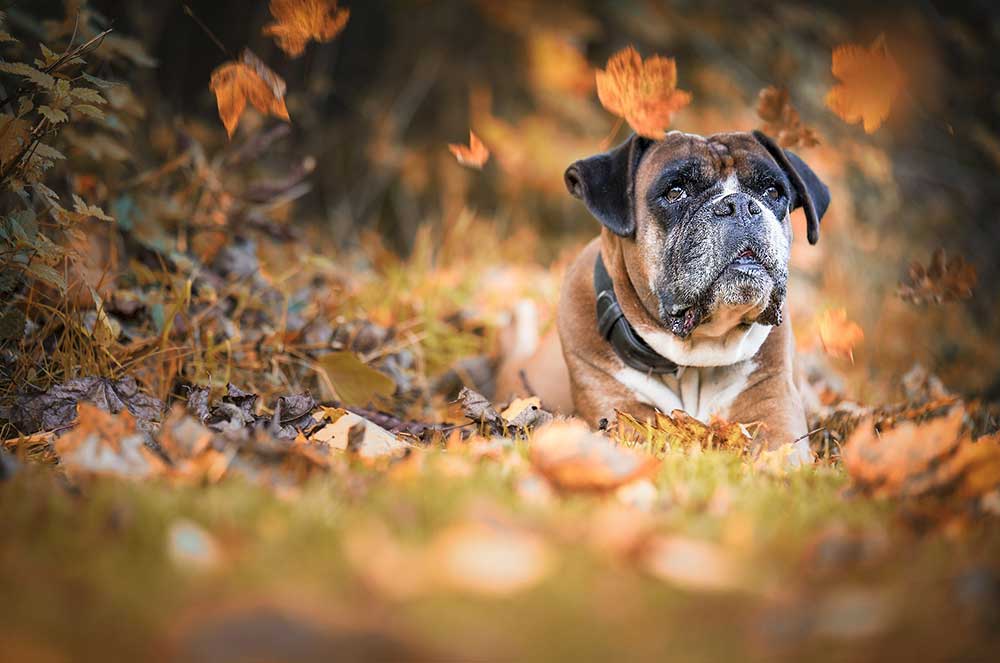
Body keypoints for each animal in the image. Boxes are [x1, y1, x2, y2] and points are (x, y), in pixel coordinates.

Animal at [496, 128, 832, 462]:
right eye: (675, 192)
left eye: (772, 192)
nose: (740, 205)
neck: (696, 355)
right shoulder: (622, 413)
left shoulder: (773, 406)